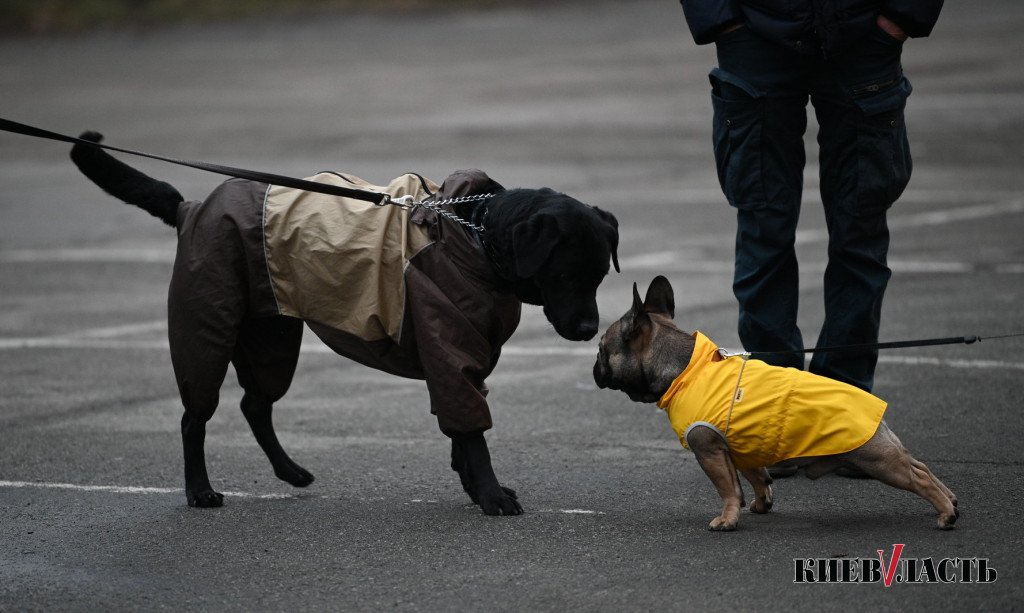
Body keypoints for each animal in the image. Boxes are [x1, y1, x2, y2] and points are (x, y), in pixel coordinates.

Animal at [72, 132, 618, 515]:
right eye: (565, 274)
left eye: (598, 275)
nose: (589, 329)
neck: (477, 234)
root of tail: (192, 208)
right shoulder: (451, 351)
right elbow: (472, 432)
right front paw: (490, 496)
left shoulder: (467, 359)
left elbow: (462, 432)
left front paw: (474, 485)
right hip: (206, 323)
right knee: (195, 416)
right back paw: (200, 490)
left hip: (271, 337)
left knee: (255, 404)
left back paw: (291, 472)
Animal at [593, 278, 958, 532]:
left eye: (601, 349)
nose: (595, 366)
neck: (685, 368)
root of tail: (876, 412)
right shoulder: (740, 449)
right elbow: (756, 478)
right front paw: (761, 503)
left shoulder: (708, 449)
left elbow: (727, 488)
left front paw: (727, 520)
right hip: (882, 452)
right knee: (920, 466)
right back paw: (952, 502)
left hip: (874, 458)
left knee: (917, 478)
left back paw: (945, 514)